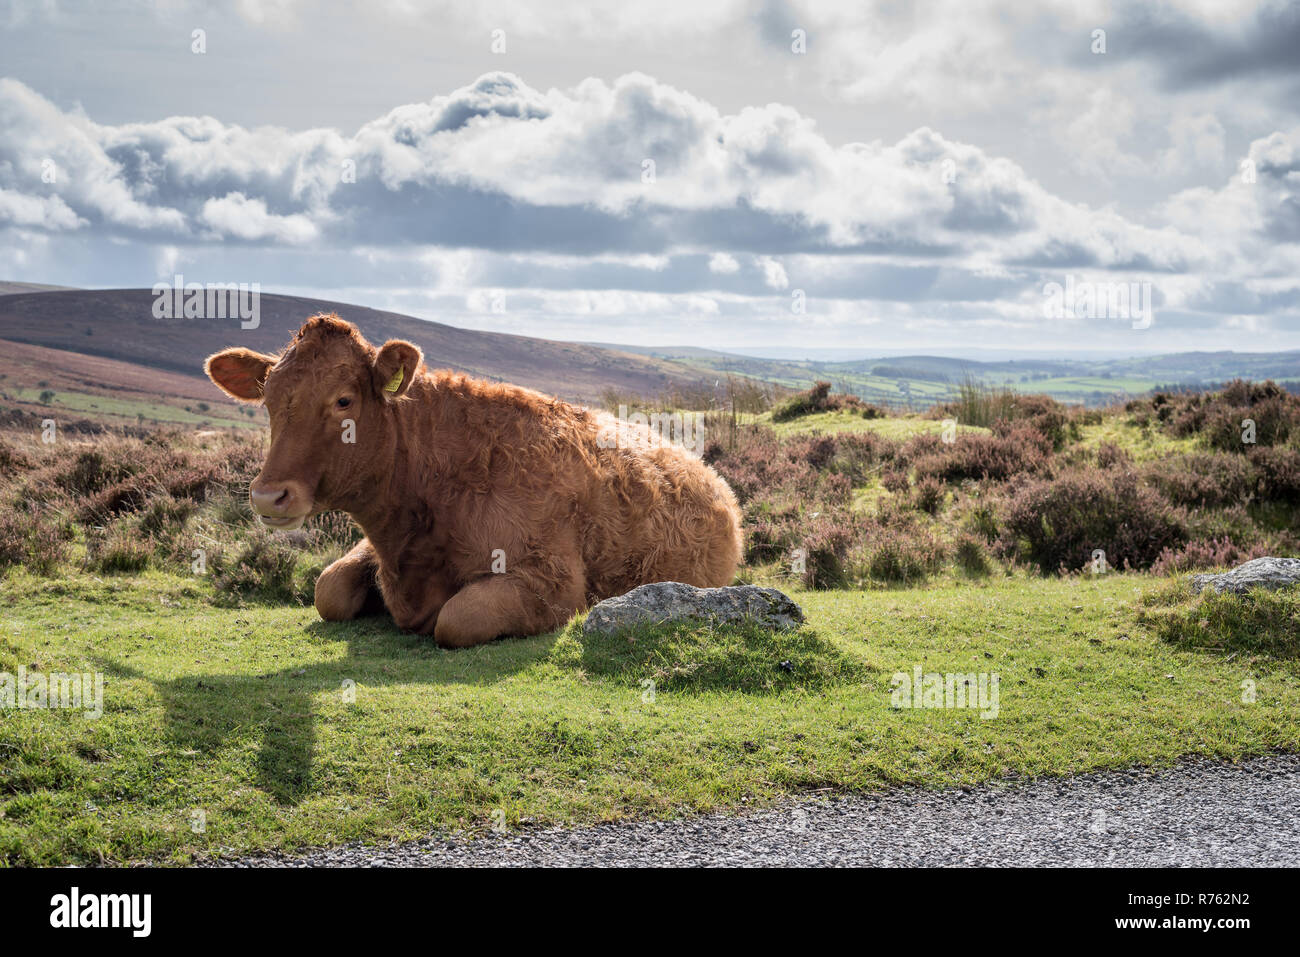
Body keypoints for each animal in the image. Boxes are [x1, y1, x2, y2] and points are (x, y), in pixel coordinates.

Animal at [204, 314, 744, 648]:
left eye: (343, 400)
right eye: (268, 399)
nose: (268, 495)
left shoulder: (553, 581)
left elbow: (457, 618)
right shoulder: (373, 549)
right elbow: (328, 588)